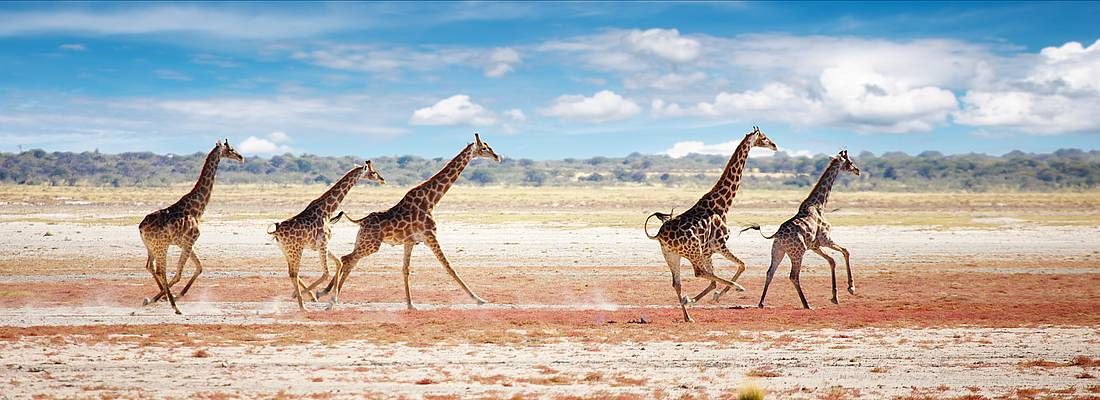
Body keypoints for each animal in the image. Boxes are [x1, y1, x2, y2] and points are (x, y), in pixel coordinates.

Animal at [136, 139, 243, 314]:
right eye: (231, 149)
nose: (241, 157)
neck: (196, 209)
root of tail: (140, 227)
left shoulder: (185, 243)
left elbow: (199, 267)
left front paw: (171, 296)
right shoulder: (190, 240)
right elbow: (179, 273)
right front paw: (171, 298)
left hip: (151, 247)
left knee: (149, 266)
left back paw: (158, 298)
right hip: (161, 246)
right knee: (160, 270)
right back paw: (174, 306)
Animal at [268, 160, 385, 309]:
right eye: (373, 172)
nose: (382, 179)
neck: (327, 210)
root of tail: (276, 232)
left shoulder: (322, 245)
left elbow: (339, 263)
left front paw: (330, 298)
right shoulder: (323, 242)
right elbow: (326, 273)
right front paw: (314, 295)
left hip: (286, 251)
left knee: (292, 272)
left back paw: (304, 299)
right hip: (295, 250)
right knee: (294, 273)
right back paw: (303, 306)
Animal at [319, 133, 503, 309]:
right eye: (485, 148)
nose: (497, 157)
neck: (431, 200)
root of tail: (361, 221)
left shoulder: (410, 242)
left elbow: (405, 270)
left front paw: (410, 304)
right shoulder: (430, 236)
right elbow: (449, 267)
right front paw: (478, 299)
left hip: (363, 241)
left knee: (349, 261)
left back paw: (326, 294)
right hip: (371, 245)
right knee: (347, 259)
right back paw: (330, 298)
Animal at [642, 126, 778, 323]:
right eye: (765, 137)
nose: (775, 145)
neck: (722, 205)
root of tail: (659, 235)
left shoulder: (708, 251)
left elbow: (716, 279)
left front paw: (701, 298)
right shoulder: (719, 244)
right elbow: (741, 265)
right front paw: (720, 294)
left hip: (672, 255)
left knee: (677, 283)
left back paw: (688, 316)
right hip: (693, 251)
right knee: (699, 273)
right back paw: (735, 287)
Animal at [748, 149, 858, 309]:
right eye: (850, 162)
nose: (857, 170)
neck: (819, 205)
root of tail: (777, 235)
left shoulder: (815, 246)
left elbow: (832, 261)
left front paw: (835, 297)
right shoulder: (825, 239)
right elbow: (845, 251)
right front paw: (851, 288)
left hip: (778, 251)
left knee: (770, 272)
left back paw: (761, 303)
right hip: (797, 253)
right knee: (793, 276)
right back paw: (806, 304)